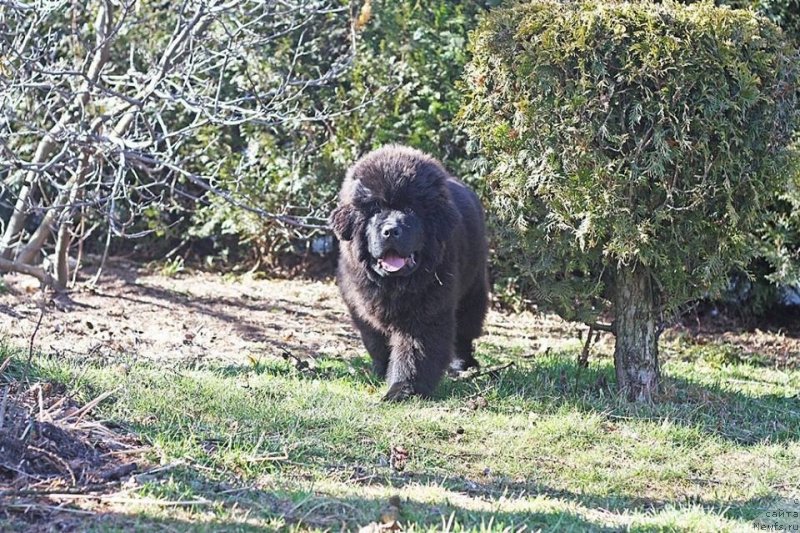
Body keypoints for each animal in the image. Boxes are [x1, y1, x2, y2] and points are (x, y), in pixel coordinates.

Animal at [330, 144, 490, 400]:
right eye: (376, 209)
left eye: (411, 209)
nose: (391, 230)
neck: (393, 285)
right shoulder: (360, 307)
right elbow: (377, 343)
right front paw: (382, 371)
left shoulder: (426, 313)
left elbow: (415, 353)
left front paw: (402, 389)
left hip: (473, 289)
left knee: (465, 330)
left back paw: (462, 363)